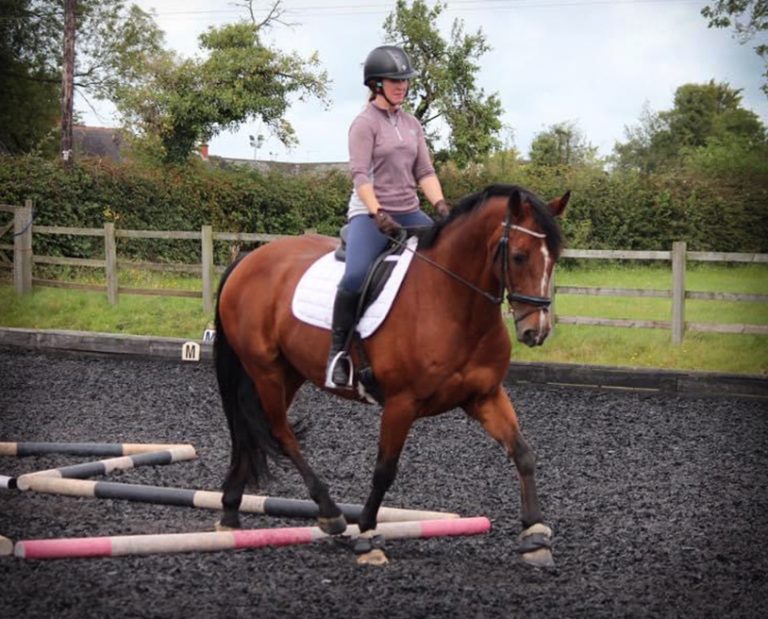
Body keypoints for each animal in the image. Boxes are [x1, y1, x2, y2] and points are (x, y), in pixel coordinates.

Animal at [213, 183, 569, 566]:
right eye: (518, 256)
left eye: (554, 258)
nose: (536, 331)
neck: (451, 301)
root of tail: (249, 259)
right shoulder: (401, 403)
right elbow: (385, 470)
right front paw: (368, 535)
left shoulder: (484, 395)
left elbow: (523, 453)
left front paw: (535, 536)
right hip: (266, 371)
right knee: (280, 433)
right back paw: (329, 512)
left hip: (289, 372)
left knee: (252, 430)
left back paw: (230, 512)